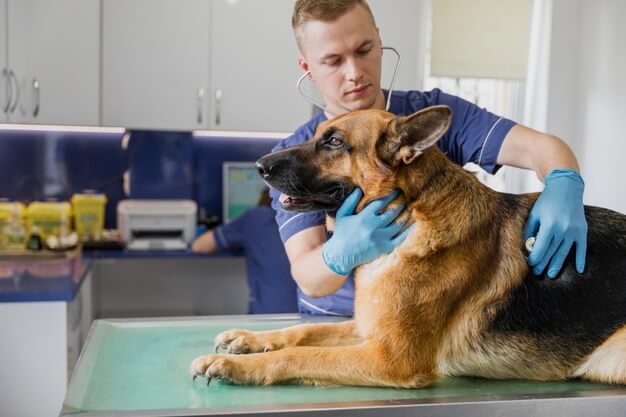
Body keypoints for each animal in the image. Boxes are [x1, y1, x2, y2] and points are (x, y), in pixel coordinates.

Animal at [190, 105, 624, 386]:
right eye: (316, 134)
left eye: (334, 142)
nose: (259, 165)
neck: (410, 215)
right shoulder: (367, 329)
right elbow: (303, 332)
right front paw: (248, 340)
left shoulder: (390, 358)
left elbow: (299, 354)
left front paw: (233, 366)